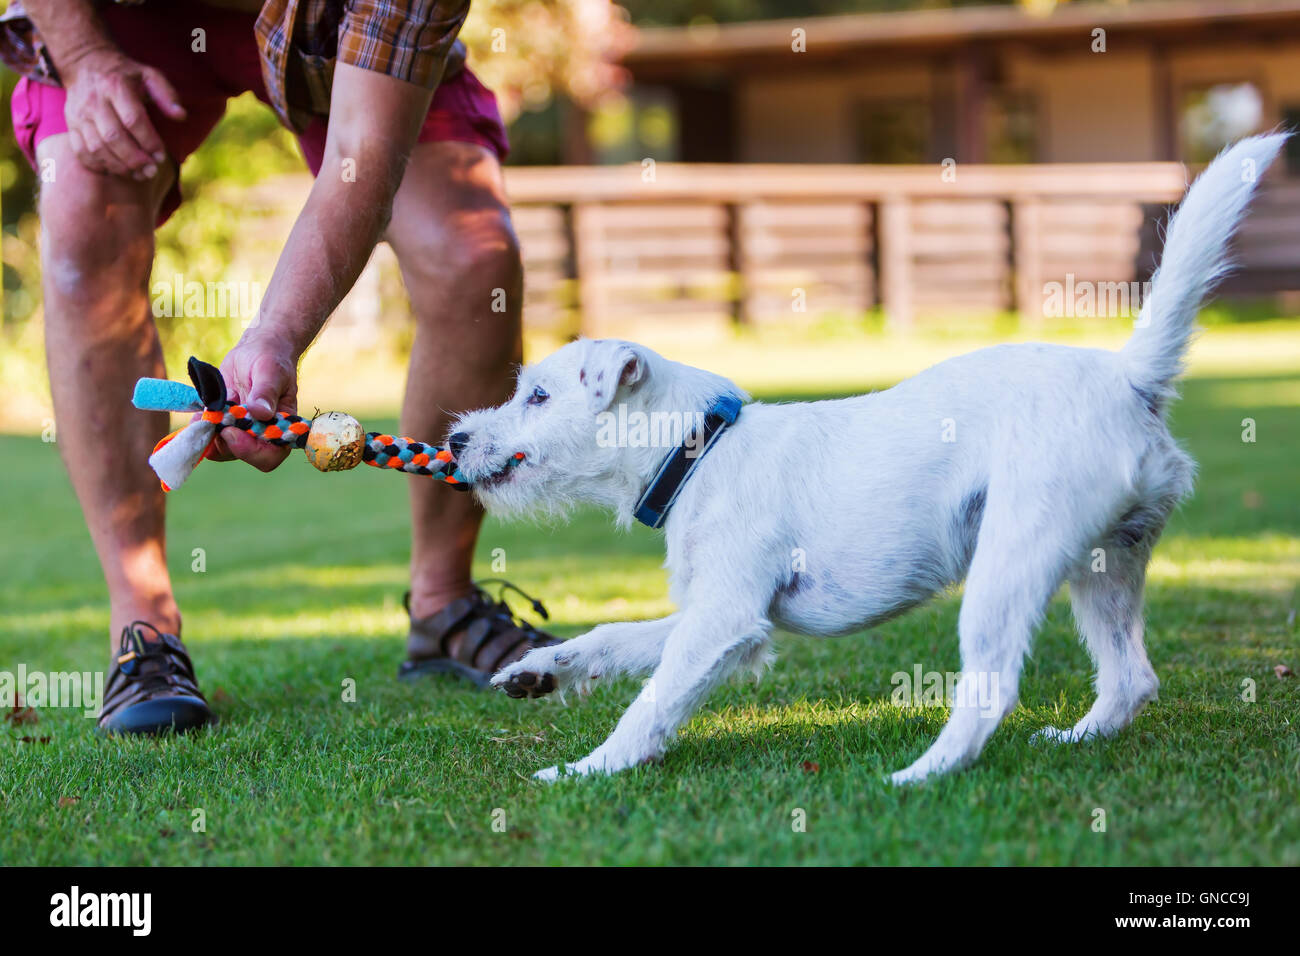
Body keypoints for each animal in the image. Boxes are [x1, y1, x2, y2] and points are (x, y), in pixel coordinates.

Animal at [452, 130, 1284, 780]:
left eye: (537, 396)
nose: (456, 438)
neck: (699, 450)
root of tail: (1129, 377)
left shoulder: (723, 619)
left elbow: (650, 702)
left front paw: (588, 769)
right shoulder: (719, 617)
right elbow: (613, 640)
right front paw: (537, 671)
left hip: (1011, 560)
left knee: (992, 689)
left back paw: (921, 775)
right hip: (1106, 567)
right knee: (1129, 679)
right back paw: (1076, 739)